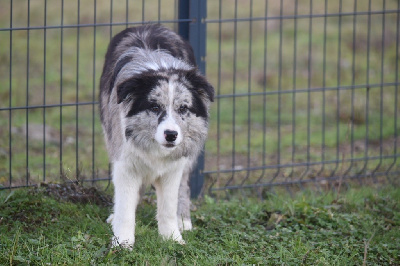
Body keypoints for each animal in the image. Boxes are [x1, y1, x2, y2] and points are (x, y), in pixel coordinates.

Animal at [99, 23, 214, 247]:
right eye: (154, 107)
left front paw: (172, 238)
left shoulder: (173, 169)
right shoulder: (125, 163)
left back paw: (183, 220)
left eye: (183, 108)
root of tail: (149, 26)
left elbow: (168, 207)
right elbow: (125, 207)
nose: (171, 135)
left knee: (183, 188)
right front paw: (122, 243)